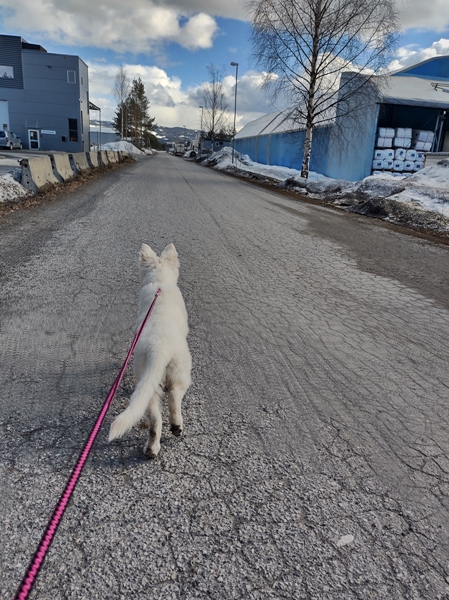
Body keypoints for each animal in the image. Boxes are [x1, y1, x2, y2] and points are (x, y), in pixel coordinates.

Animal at [110, 241, 192, 458]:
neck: (160, 282)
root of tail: (159, 348)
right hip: (180, 371)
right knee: (174, 397)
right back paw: (176, 426)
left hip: (148, 382)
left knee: (155, 420)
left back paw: (151, 449)